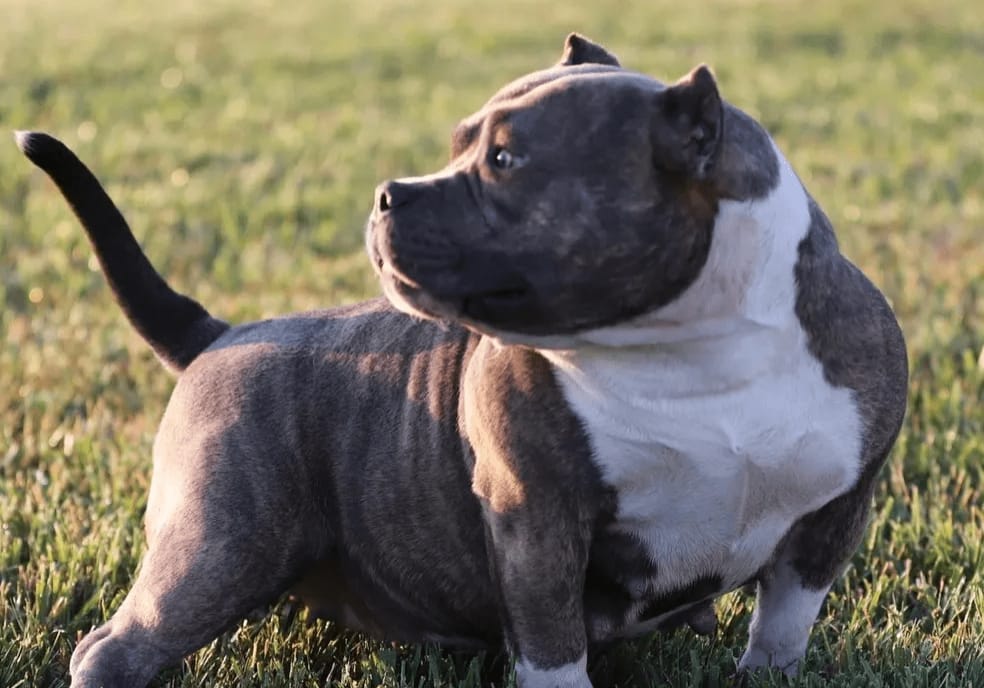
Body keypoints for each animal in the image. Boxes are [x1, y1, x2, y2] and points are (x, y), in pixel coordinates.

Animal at [17, 33, 908, 688]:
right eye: (458, 149)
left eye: (504, 161)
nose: (387, 193)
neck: (690, 351)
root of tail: (220, 335)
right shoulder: (537, 520)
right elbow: (552, 649)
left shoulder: (835, 513)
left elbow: (784, 624)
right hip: (221, 543)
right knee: (118, 645)